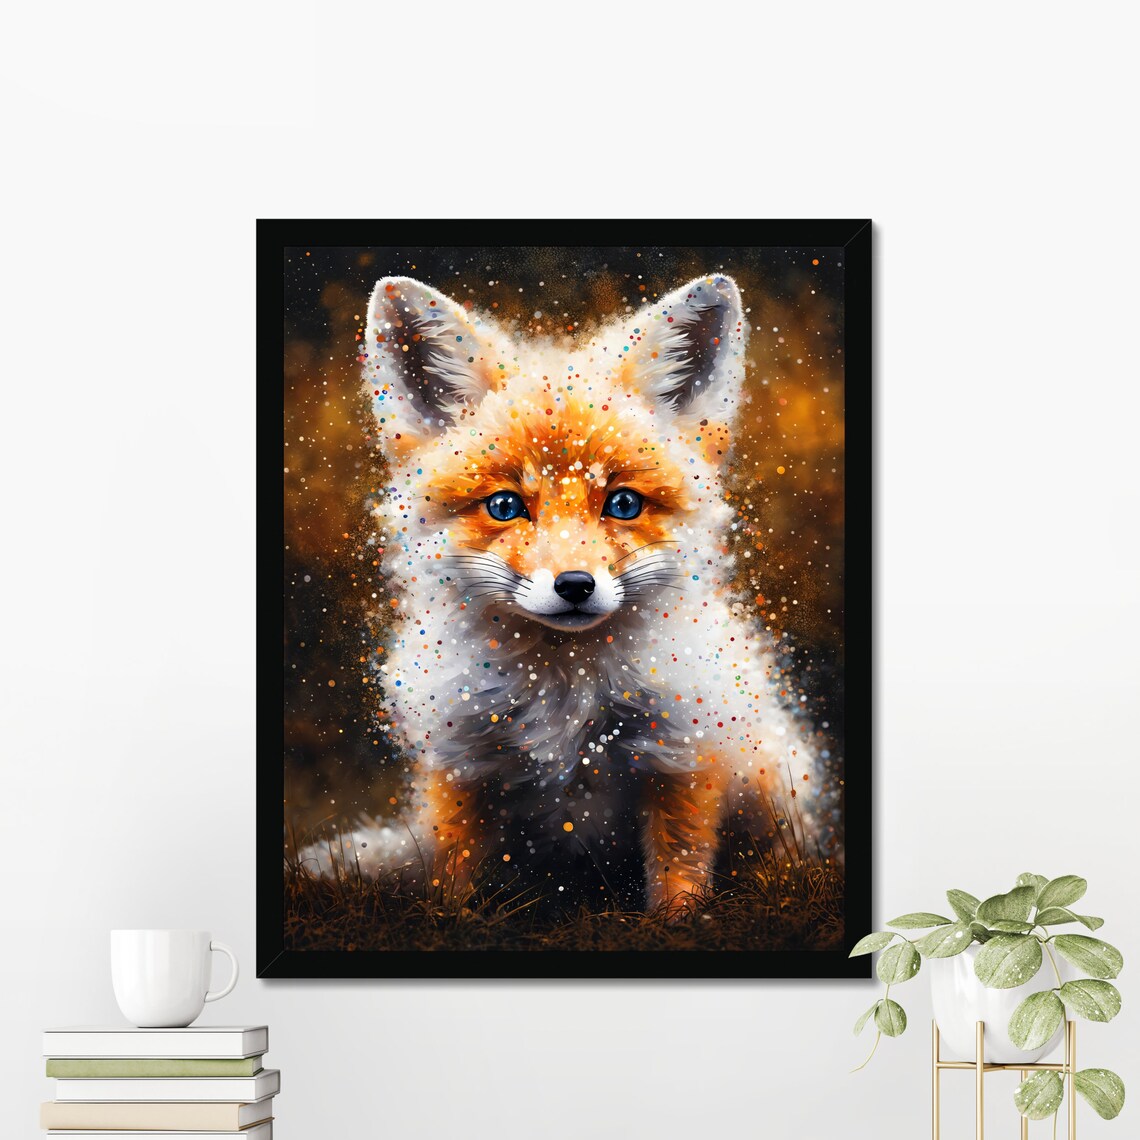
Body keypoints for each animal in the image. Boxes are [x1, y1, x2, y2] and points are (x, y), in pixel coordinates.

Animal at [301, 272, 821, 913]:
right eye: (505, 506)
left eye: (623, 503)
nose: (575, 585)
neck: (564, 689)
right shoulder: (460, 761)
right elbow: (454, 871)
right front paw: (451, 917)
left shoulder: (684, 749)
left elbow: (679, 863)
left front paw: (677, 920)